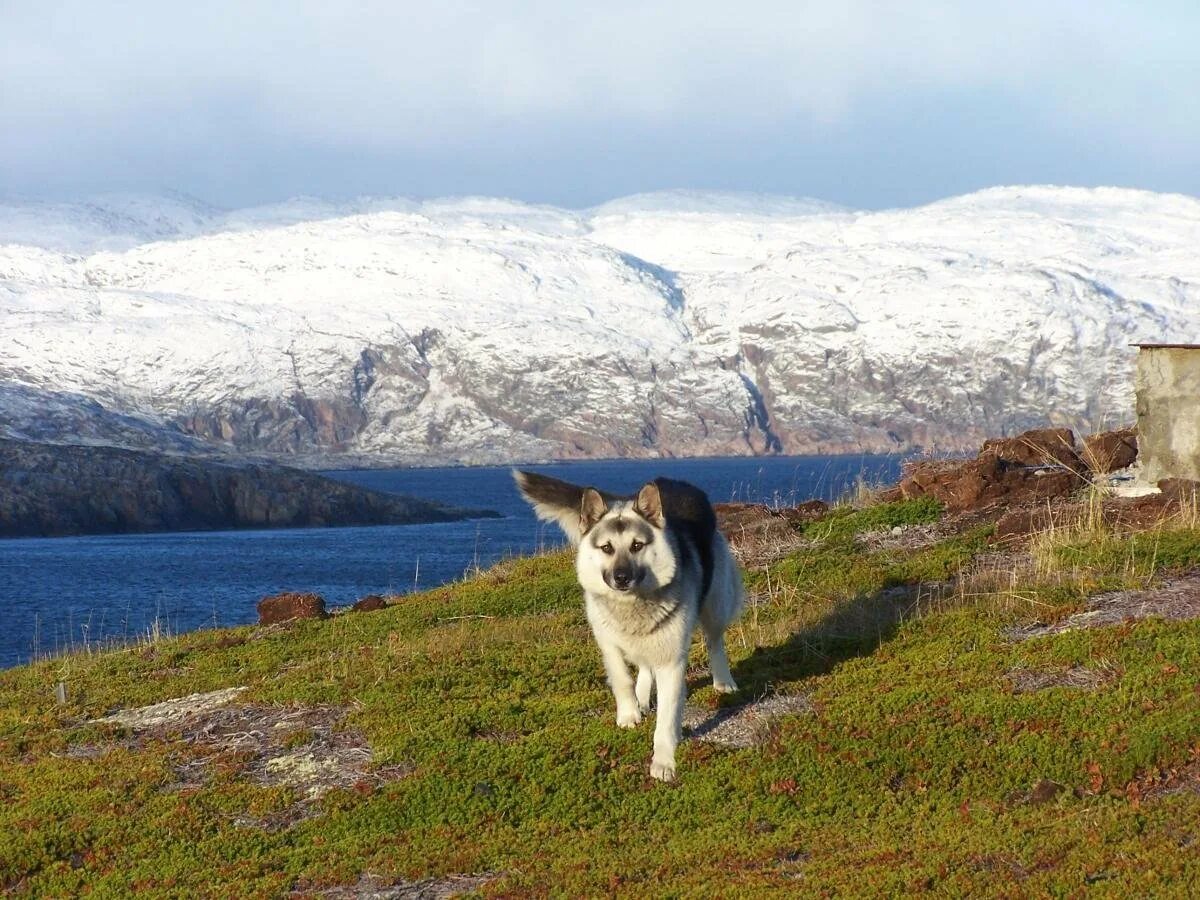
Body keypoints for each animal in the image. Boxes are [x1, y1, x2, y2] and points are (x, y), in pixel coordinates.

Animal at [513, 472, 744, 782]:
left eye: (637, 546)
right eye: (607, 548)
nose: (621, 577)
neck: (632, 605)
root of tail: (674, 482)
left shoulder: (671, 661)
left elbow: (666, 719)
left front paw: (663, 762)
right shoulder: (608, 643)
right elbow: (622, 678)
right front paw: (628, 713)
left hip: (716, 604)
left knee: (715, 641)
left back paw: (723, 681)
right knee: (644, 665)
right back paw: (642, 698)